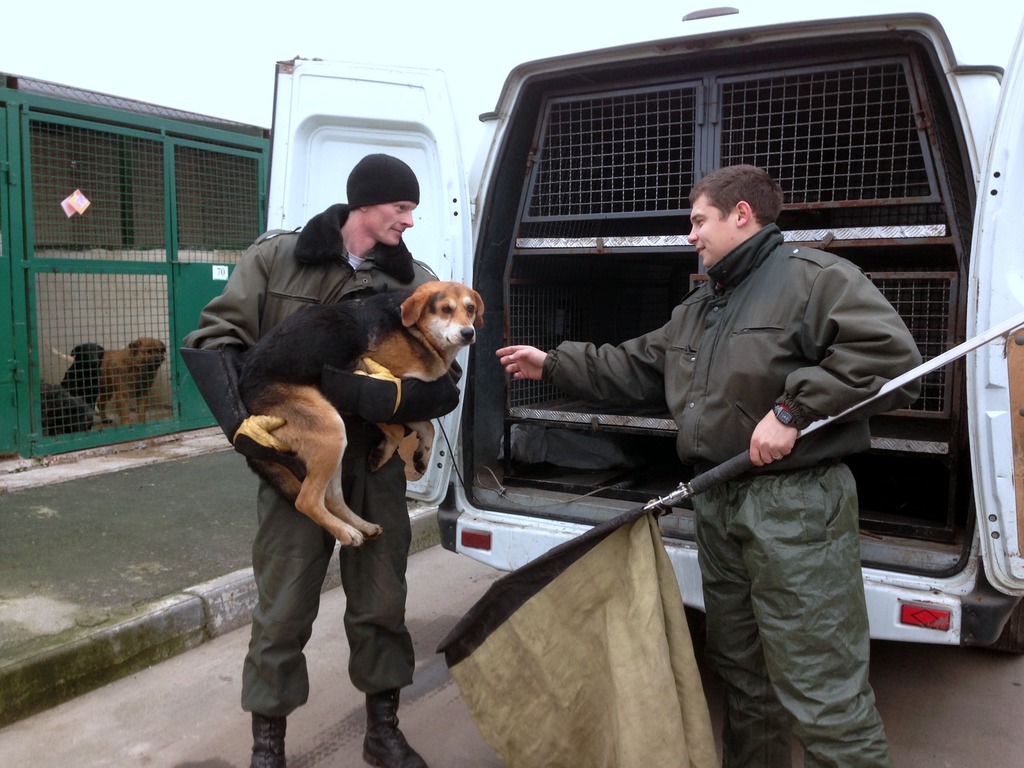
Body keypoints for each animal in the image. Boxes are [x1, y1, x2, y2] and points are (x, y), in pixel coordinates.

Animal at [239, 282, 483, 548]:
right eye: (446, 309)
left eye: (470, 308)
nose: (468, 333)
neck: (415, 330)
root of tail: (245, 394)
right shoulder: (368, 384)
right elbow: (396, 427)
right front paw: (383, 453)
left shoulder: (405, 396)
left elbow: (425, 425)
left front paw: (422, 455)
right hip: (332, 429)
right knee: (306, 501)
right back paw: (346, 532)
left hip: (332, 445)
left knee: (332, 499)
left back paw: (362, 526)